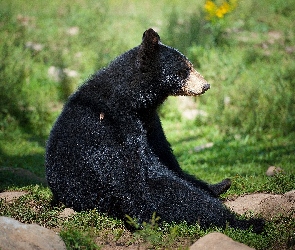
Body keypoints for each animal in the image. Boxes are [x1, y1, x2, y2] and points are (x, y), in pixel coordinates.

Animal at [45, 28, 264, 231]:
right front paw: (244, 221)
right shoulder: (112, 127)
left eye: (190, 65)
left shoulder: (150, 122)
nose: (206, 85)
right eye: (185, 69)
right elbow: (140, 182)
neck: (132, 99)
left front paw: (217, 186)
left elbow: (166, 158)